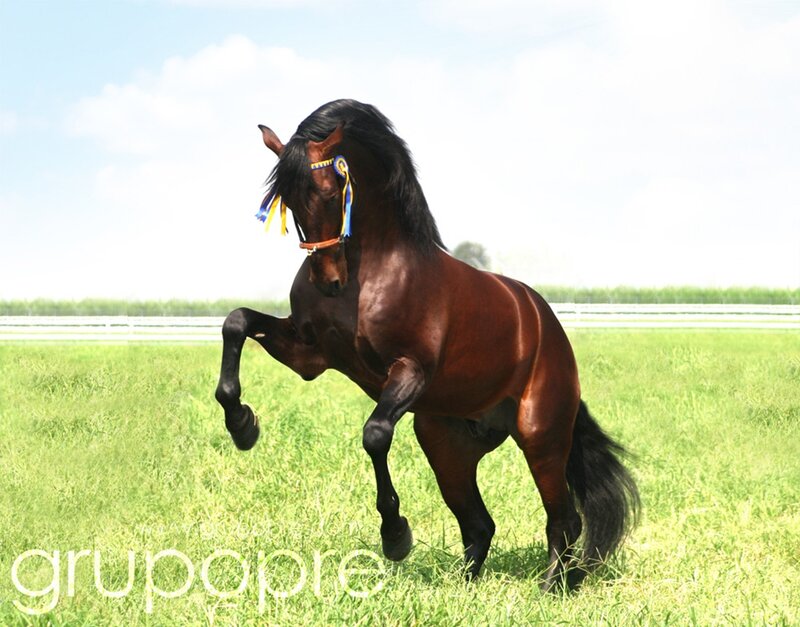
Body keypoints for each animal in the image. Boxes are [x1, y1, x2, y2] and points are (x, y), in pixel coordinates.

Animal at [214, 99, 639, 591]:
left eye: (331, 188)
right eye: (286, 199)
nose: (328, 281)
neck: (370, 274)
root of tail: (546, 327)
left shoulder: (410, 370)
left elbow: (375, 434)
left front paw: (395, 536)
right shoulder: (310, 354)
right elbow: (236, 322)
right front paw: (243, 425)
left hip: (541, 436)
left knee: (564, 521)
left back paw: (552, 587)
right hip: (446, 445)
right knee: (480, 525)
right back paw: (466, 585)